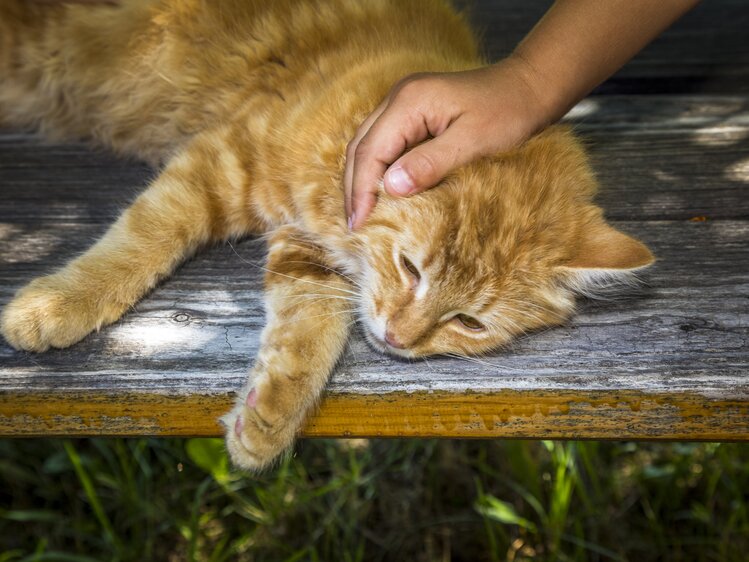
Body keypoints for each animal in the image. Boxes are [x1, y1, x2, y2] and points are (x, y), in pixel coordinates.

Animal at [0, 0, 652, 468]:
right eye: (411, 268)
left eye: (469, 322)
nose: (398, 339)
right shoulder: (225, 162)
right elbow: (142, 238)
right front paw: (55, 305)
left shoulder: (304, 247)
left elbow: (308, 328)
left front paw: (268, 417)